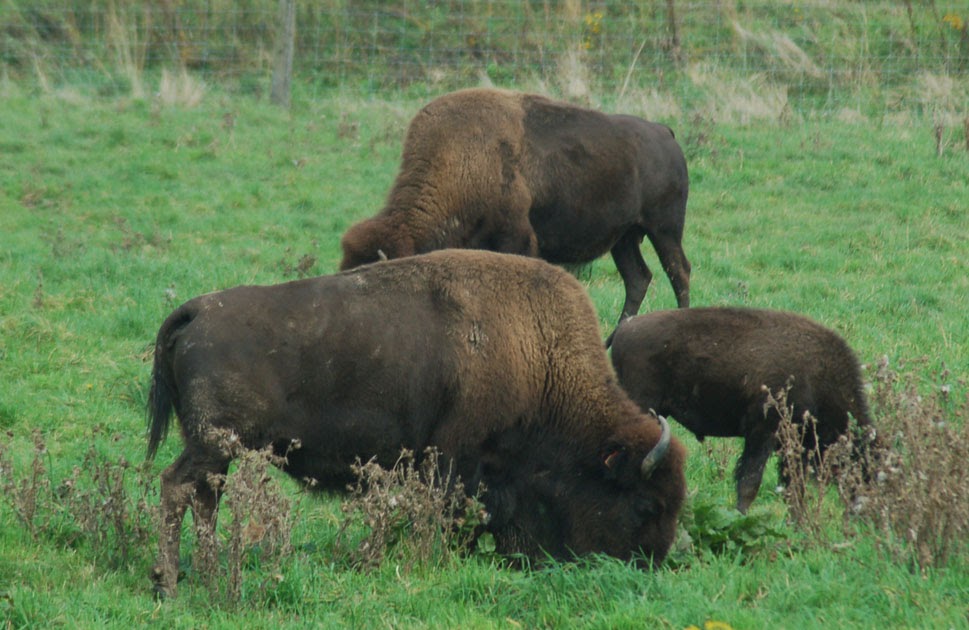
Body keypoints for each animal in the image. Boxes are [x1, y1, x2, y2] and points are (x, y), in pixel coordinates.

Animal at [147, 250, 686, 598]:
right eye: (646, 505)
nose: (646, 571)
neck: (538, 356)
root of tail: (195, 311)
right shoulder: (455, 464)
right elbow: (453, 519)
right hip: (214, 444)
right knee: (177, 487)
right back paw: (171, 584)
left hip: (218, 452)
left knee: (203, 498)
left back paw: (208, 575)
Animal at [339, 88, 691, 338]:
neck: (463, 160)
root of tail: (664, 132)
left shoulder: (516, 239)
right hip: (624, 238)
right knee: (638, 278)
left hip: (664, 230)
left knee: (679, 272)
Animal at [610, 307, 878, 513]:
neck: (821, 375)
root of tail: (623, 329)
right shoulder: (763, 433)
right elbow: (750, 483)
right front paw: (741, 517)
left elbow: (791, 489)